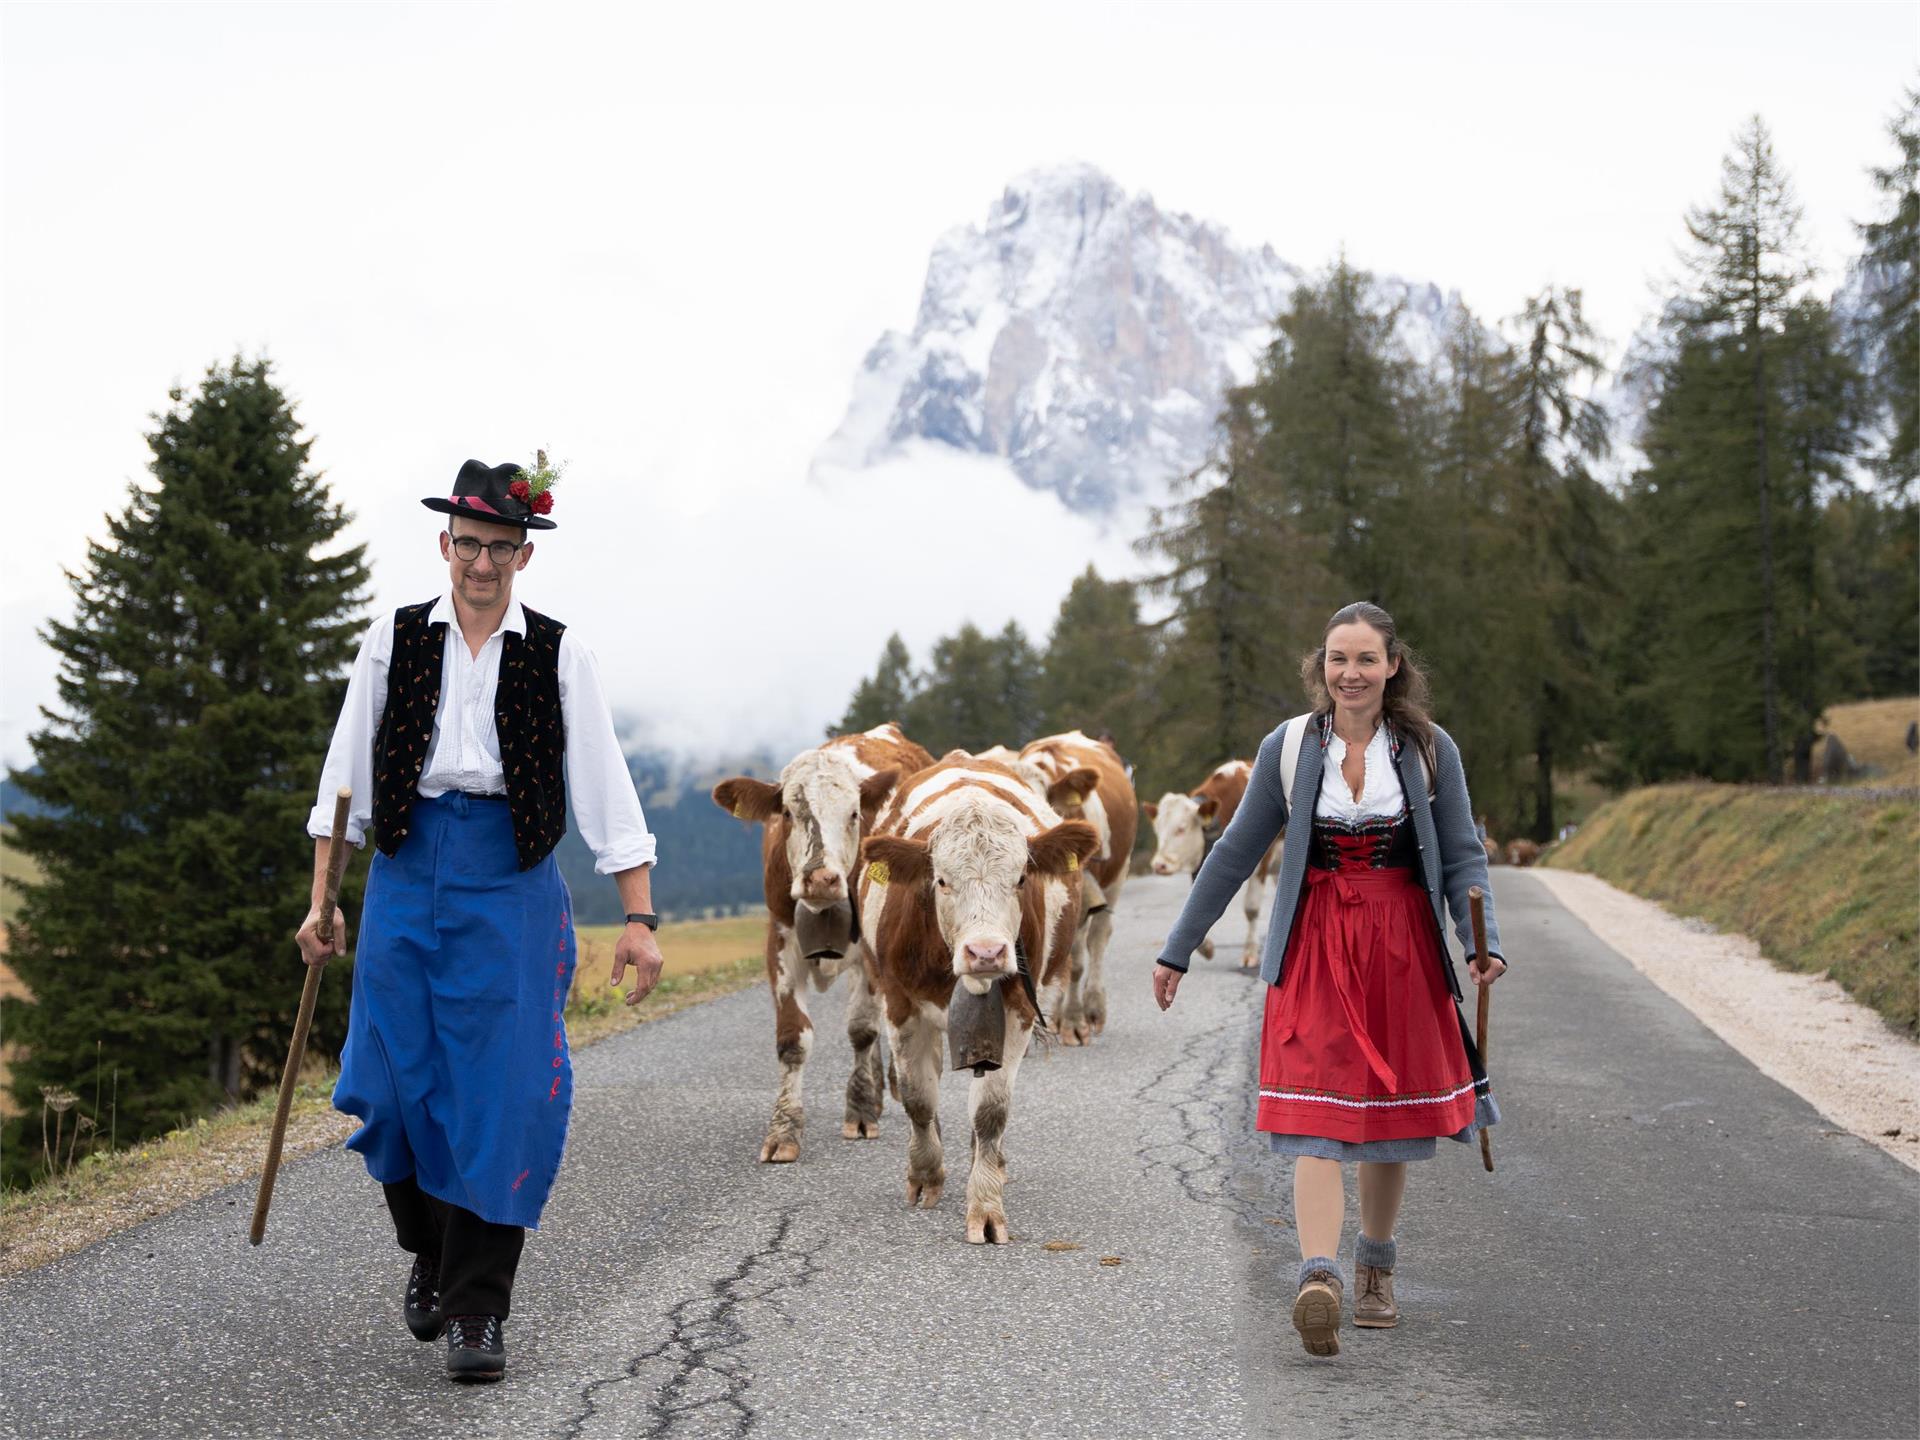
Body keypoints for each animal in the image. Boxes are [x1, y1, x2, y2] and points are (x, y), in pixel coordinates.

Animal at [718, 721, 933, 1159]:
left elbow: (862, 1029)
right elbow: (792, 1038)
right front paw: (784, 1130)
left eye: (854, 813)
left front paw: (861, 1112)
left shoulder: (869, 952)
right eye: (787, 812)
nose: (821, 878)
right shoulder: (780, 942)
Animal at [860, 760, 1098, 1244]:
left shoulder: (1019, 1009)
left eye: (1021, 878)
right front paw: (926, 1175)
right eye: (941, 880)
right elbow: (918, 1097)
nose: (986, 952)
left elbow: (990, 1112)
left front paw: (986, 1205)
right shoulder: (900, 1004)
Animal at [1144, 756, 1282, 971]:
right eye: (1158, 830)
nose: (1159, 865)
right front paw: (1206, 948)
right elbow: (1198, 903)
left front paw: (1250, 954)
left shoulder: (1263, 862)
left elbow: (1251, 909)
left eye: (1182, 829)